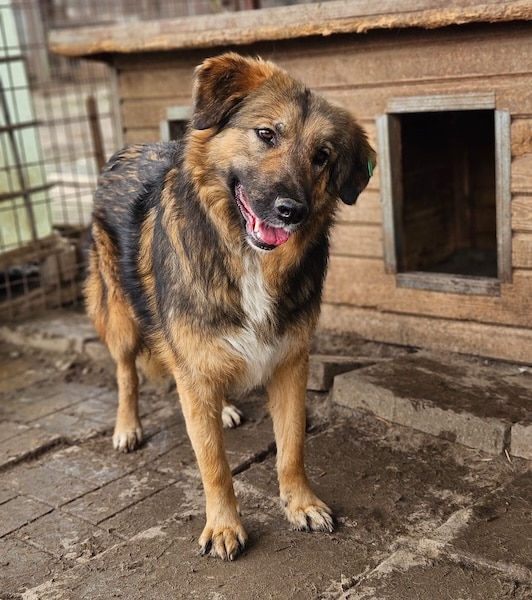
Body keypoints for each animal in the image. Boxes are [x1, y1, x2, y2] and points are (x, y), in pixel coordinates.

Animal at [85, 52, 375, 560]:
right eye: (266, 134)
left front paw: (300, 503)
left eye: (322, 156)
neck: (247, 257)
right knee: (126, 373)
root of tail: (126, 150)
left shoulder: (290, 362)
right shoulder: (194, 361)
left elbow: (292, 447)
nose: (290, 210)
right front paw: (223, 526)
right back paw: (127, 426)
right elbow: (213, 462)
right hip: (119, 315)